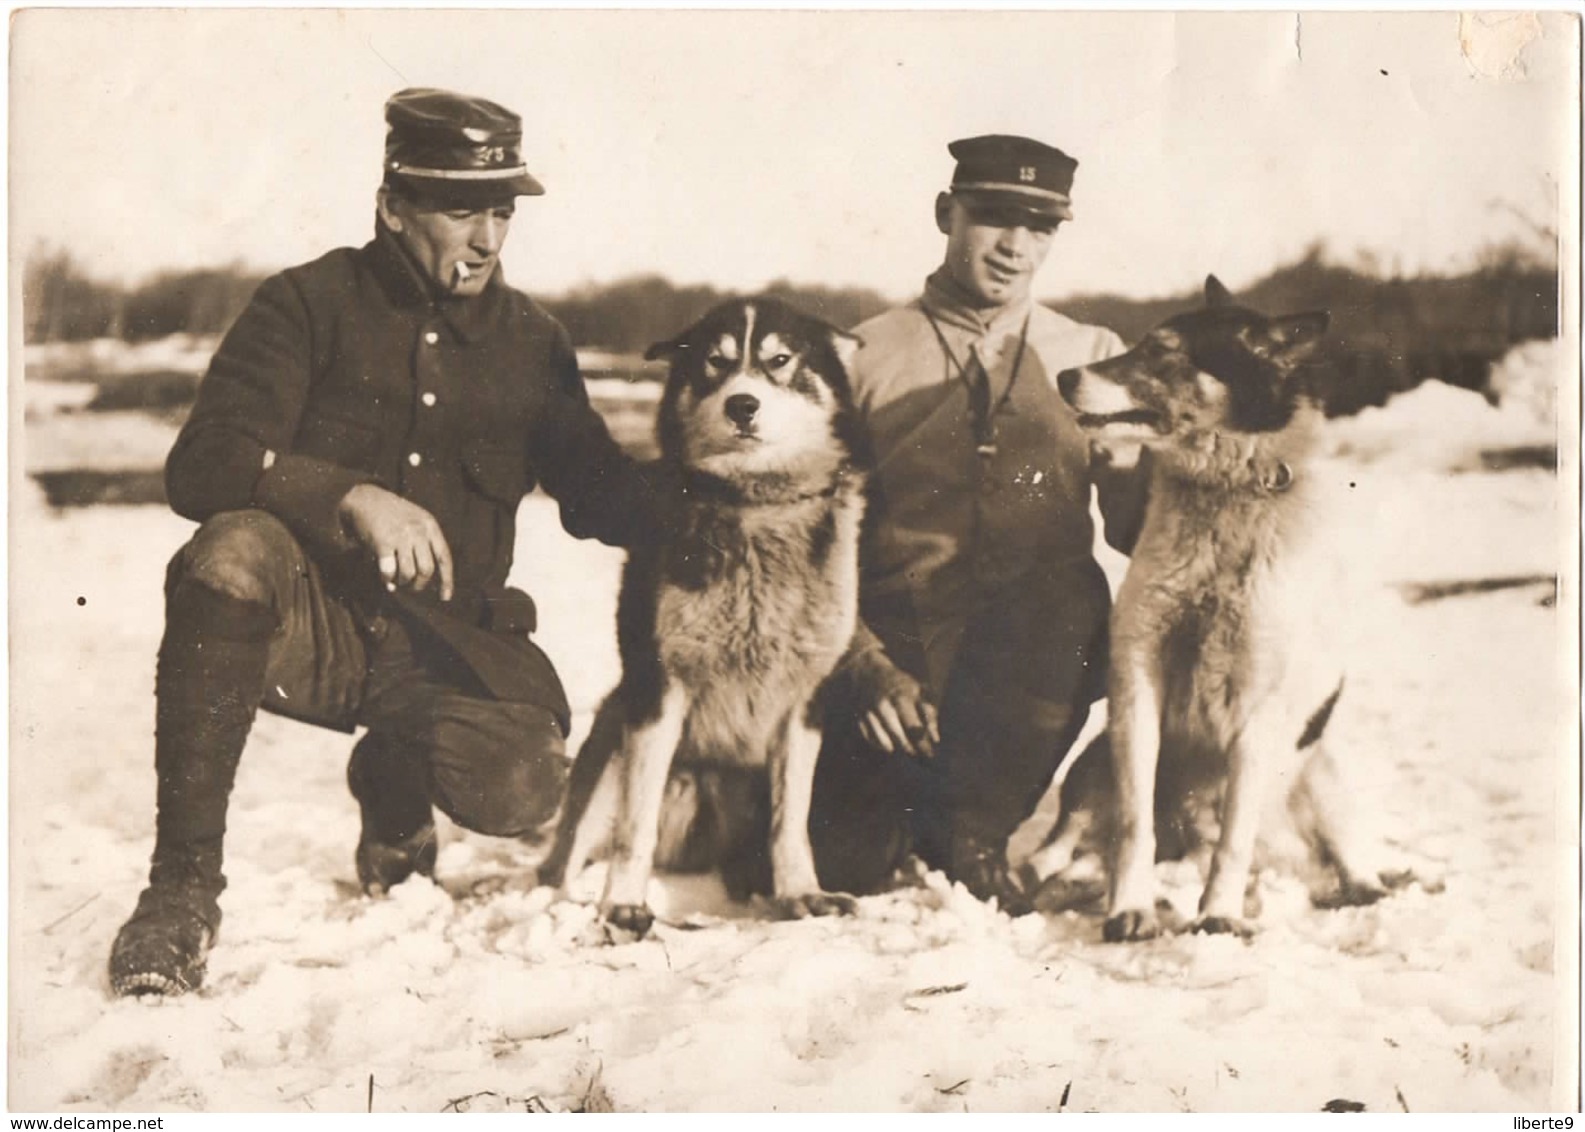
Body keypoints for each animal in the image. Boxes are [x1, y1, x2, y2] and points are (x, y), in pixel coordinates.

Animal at [1052, 277, 1439, 938]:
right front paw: (1131, 908)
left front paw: (1218, 915)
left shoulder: (1257, 708)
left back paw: (1361, 890)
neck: (1224, 494)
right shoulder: (1138, 681)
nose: (1063, 375)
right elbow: (1134, 825)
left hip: (1323, 776)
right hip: (1092, 771)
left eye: (1161, 351)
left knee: (1346, 865)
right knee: (1058, 855)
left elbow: (1235, 836)